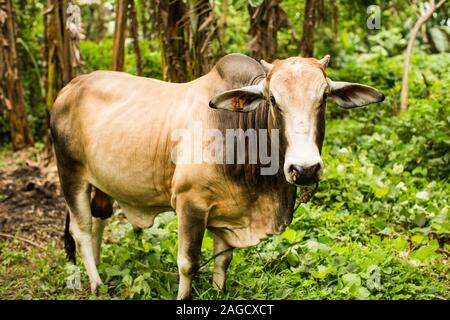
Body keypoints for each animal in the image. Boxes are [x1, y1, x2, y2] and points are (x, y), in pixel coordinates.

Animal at [51, 53, 384, 300]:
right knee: (81, 230)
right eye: (273, 100)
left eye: (325, 96)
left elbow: (223, 260)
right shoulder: (190, 205)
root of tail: (70, 87)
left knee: (98, 221)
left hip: (101, 183)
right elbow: (188, 264)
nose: (304, 169)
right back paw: (96, 284)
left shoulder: (231, 213)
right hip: (71, 174)